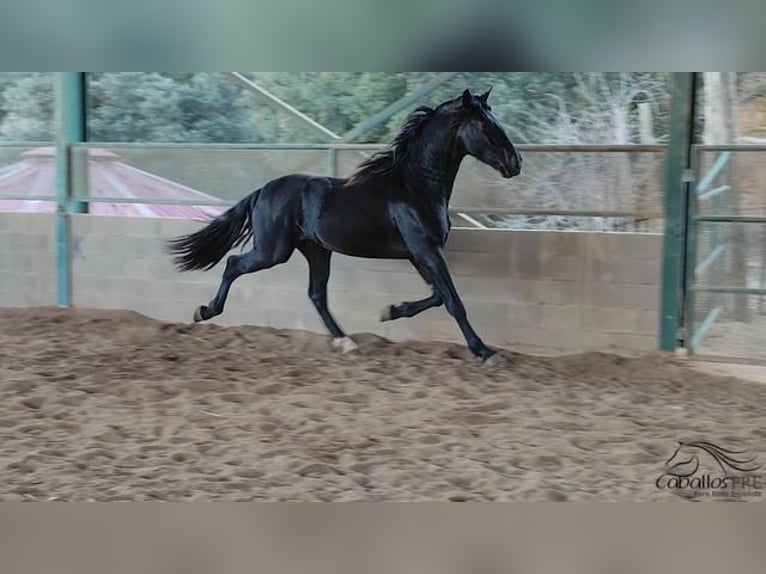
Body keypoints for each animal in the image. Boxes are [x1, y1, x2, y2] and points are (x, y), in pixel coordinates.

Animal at [170, 89, 520, 360]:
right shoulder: (426, 250)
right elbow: (452, 301)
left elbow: (437, 296)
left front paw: (391, 310)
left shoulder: (419, 254)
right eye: (486, 125)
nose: (515, 164)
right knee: (233, 264)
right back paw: (204, 311)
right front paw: (484, 352)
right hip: (273, 251)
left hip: (316, 251)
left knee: (317, 295)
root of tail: (263, 191)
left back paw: (347, 342)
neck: (415, 186)